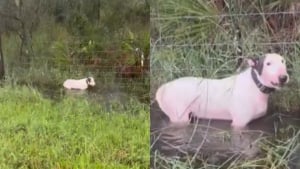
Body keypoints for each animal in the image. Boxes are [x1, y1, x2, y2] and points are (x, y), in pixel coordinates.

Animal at [155, 53, 288, 129]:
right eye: (268, 63)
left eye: (283, 61)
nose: (283, 77)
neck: (255, 85)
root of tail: (163, 88)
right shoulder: (239, 123)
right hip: (179, 116)